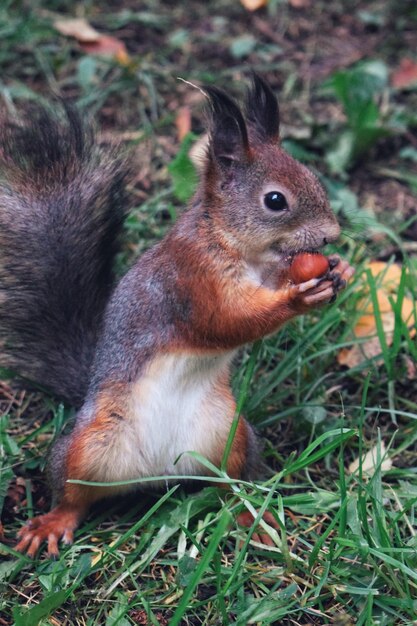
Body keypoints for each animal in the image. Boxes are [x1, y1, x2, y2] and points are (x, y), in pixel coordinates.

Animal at [0, 75, 354, 560]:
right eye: (275, 200)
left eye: (313, 177)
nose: (331, 235)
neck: (233, 245)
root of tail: (157, 474)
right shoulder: (190, 283)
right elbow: (227, 323)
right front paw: (299, 298)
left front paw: (340, 270)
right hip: (87, 444)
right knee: (73, 495)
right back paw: (52, 523)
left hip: (231, 436)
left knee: (229, 485)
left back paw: (252, 520)